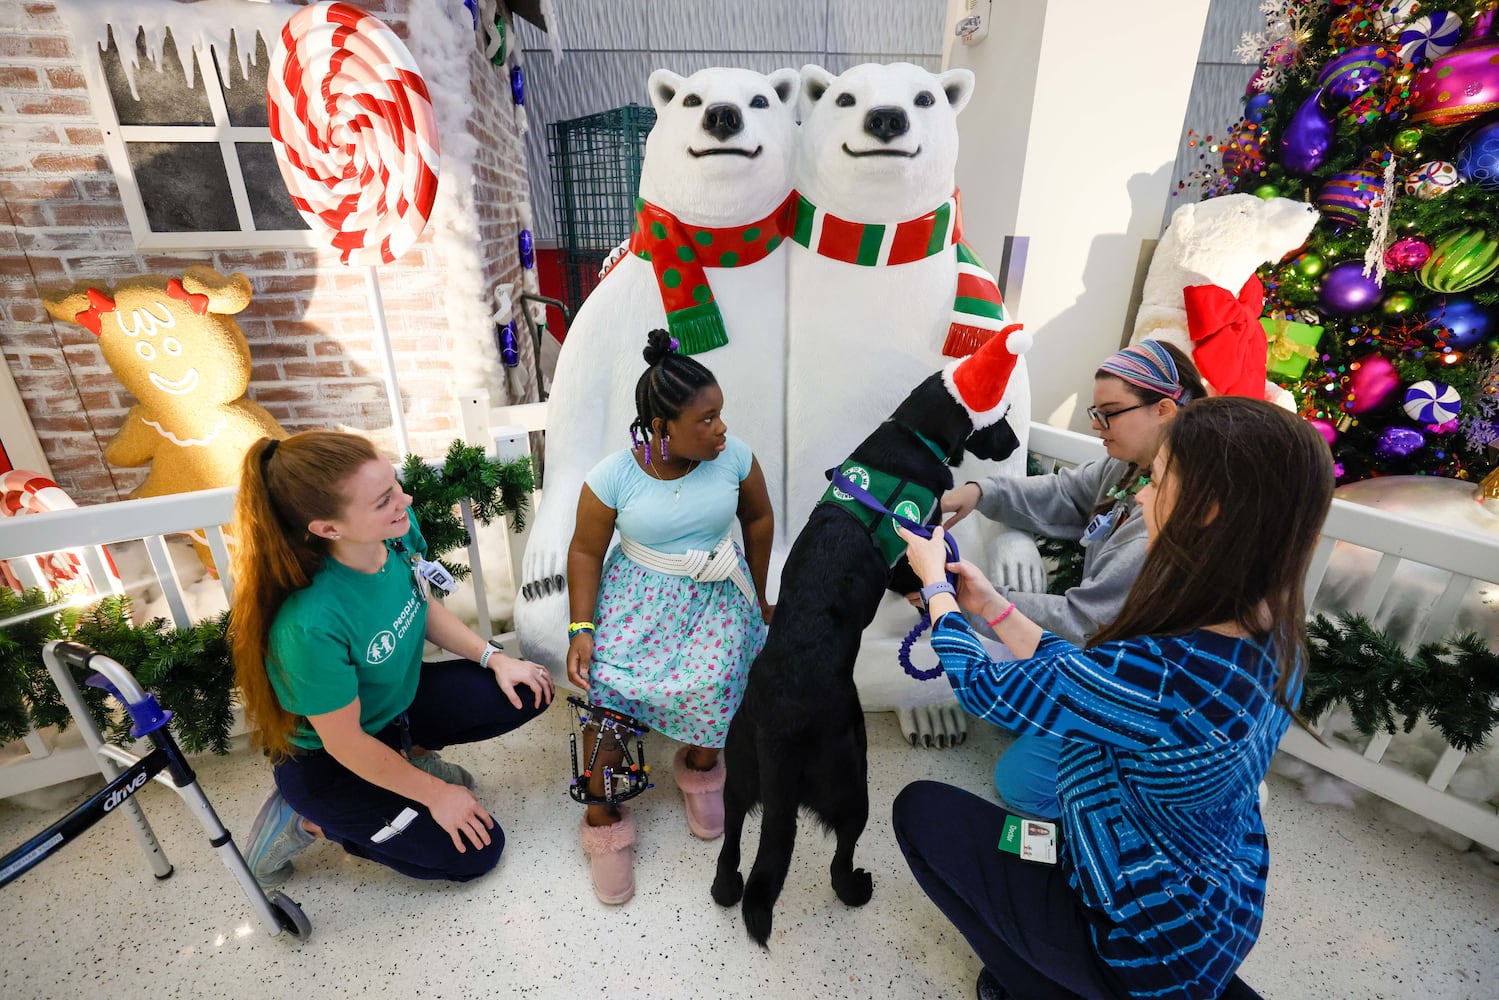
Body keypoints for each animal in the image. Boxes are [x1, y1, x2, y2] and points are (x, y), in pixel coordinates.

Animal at [710, 361, 1019, 947]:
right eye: (1002, 415)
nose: (1016, 445)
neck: (911, 435)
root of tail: (780, 729)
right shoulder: (918, 541)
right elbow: (920, 571)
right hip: (852, 780)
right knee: (840, 856)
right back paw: (855, 888)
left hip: (737, 771)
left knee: (732, 835)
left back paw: (726, 886)